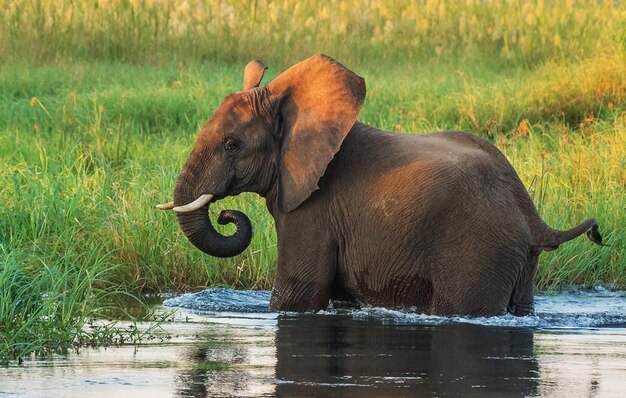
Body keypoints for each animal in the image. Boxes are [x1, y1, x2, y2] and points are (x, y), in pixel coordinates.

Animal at [158, 54, 604, 316]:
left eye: (233, 145)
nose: (227, 215)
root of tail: (531, 214)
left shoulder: (313, 211)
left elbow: (296, 296)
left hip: (479, 249)